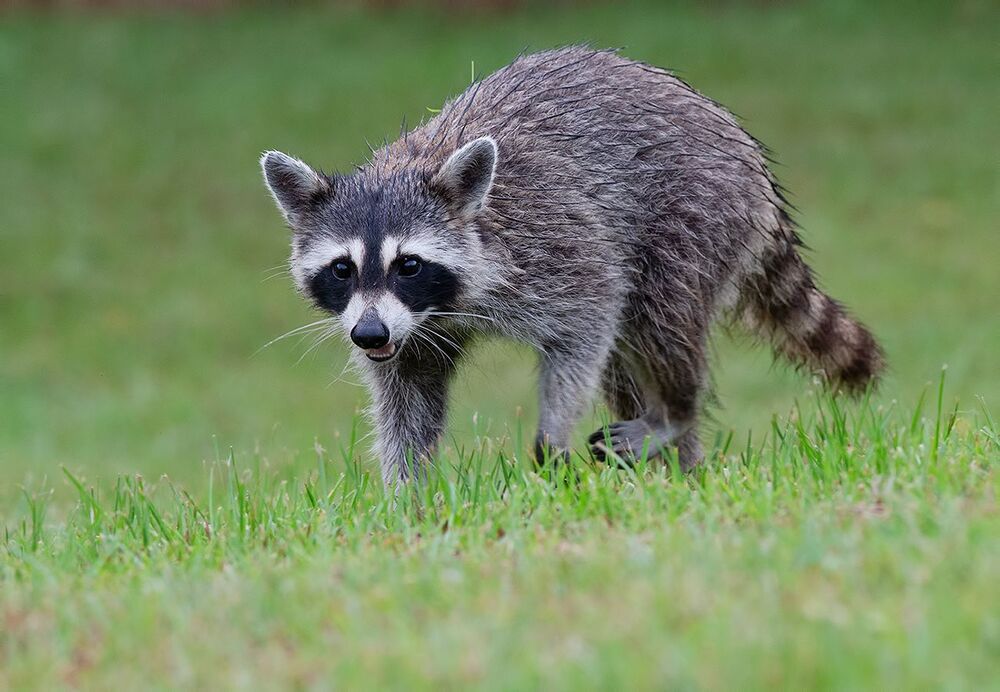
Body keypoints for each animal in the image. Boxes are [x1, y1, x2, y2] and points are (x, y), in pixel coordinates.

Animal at [260, 46, 884, 485]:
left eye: (408, 264)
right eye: (342, 269)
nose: (368, 334)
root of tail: (749, 158)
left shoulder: (558, 247)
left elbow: (585, 324)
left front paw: (554, 433)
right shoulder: (410, 332)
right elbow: (407, 397)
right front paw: (407, 495)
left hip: (694, 217)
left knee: (658, 320)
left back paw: (675, 413)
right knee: (625, 358)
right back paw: (679, 469)